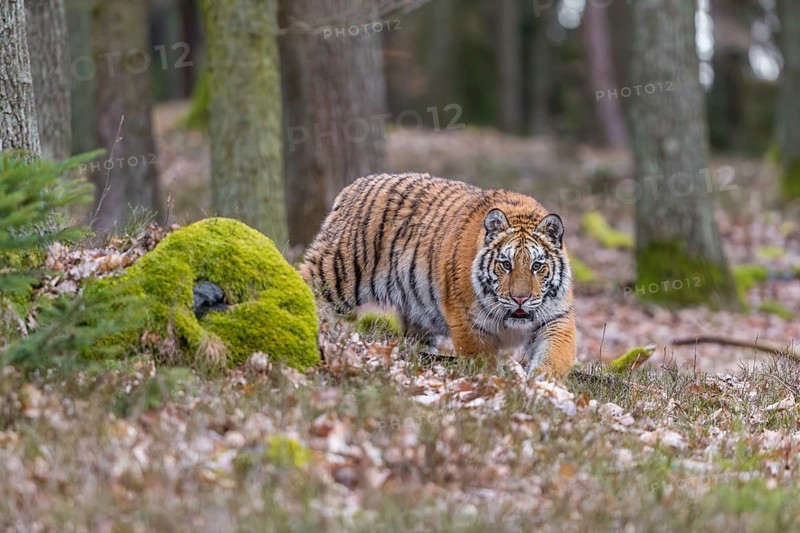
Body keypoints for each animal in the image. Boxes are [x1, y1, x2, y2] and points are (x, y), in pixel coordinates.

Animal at [299, 173, 576, 377]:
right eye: (506, 264)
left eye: (537, 266)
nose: (520, 299)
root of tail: (353, 186)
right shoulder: (468, 321)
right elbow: (481, 361)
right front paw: (492, 382)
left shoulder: (557, 317)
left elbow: (555, 355)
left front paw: (542, 384)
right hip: (338, 271)